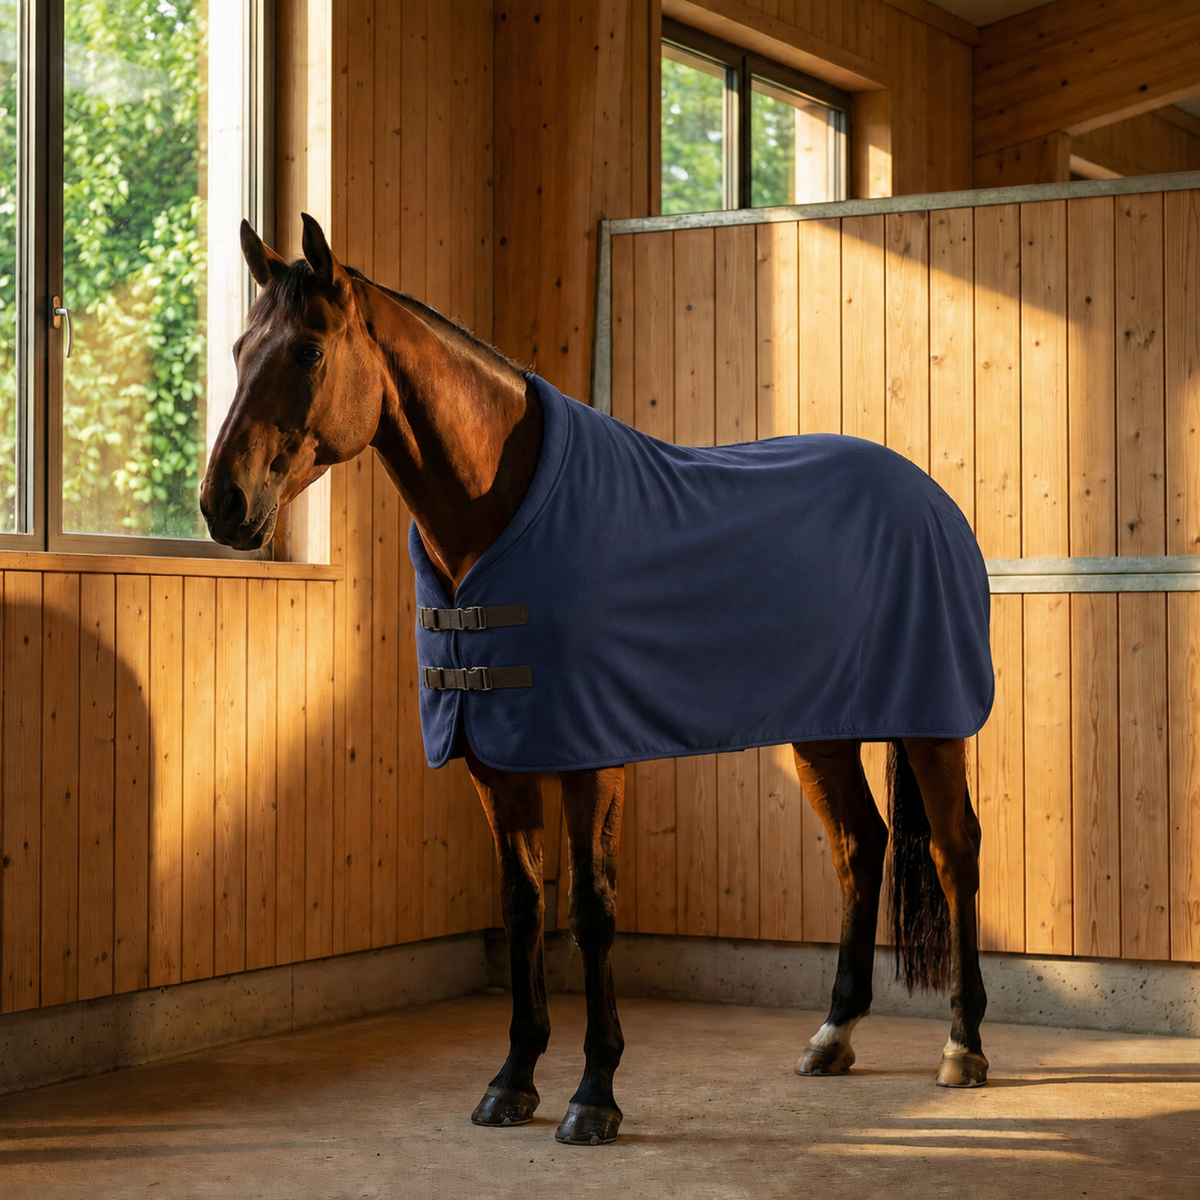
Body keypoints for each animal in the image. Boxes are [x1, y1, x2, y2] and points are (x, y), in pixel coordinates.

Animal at [201, 214, 993, 1147]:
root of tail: (927, 495)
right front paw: (512, 1079)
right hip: (820, 733)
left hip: (932, 725)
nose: (222, 504)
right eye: (241, 348)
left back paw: (964, 1045)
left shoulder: (590, 759)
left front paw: (595, 1092)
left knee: (954, 851)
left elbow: (589, 909)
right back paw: (834, 1033)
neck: (501, 515)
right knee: (859, 847)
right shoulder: (494, 763)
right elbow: (522, 908)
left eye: (309, 352)